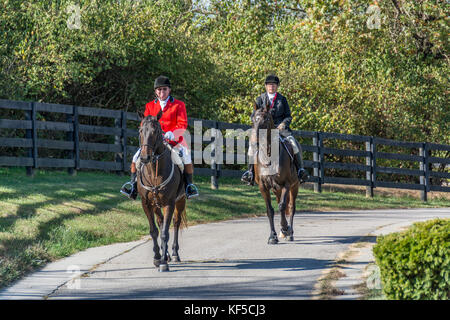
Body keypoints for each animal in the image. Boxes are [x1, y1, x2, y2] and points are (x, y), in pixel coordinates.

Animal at [137, 109, 186, 270]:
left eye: (156, 131)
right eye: (140, 130)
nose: (145, 157)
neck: (154, 171)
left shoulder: (169, 203)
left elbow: (165, 232)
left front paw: (163, 262)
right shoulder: (146, 203)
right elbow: (154, 231)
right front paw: (158, 257)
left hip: (181, 201)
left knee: (176, 223)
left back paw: (174, 254)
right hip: (156, 205)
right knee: (161, 221)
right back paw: (167, 254)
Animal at [253, 102, 298, 245]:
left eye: (266, 119)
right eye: (253, 119)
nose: (255, 139)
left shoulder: (286, 184)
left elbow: (283, 206)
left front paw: (285, 229)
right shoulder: (263, 187)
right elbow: (270, 210)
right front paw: (272, 236)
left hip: (294, 186)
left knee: (291, 207)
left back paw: (289, 232)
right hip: (276, 189)